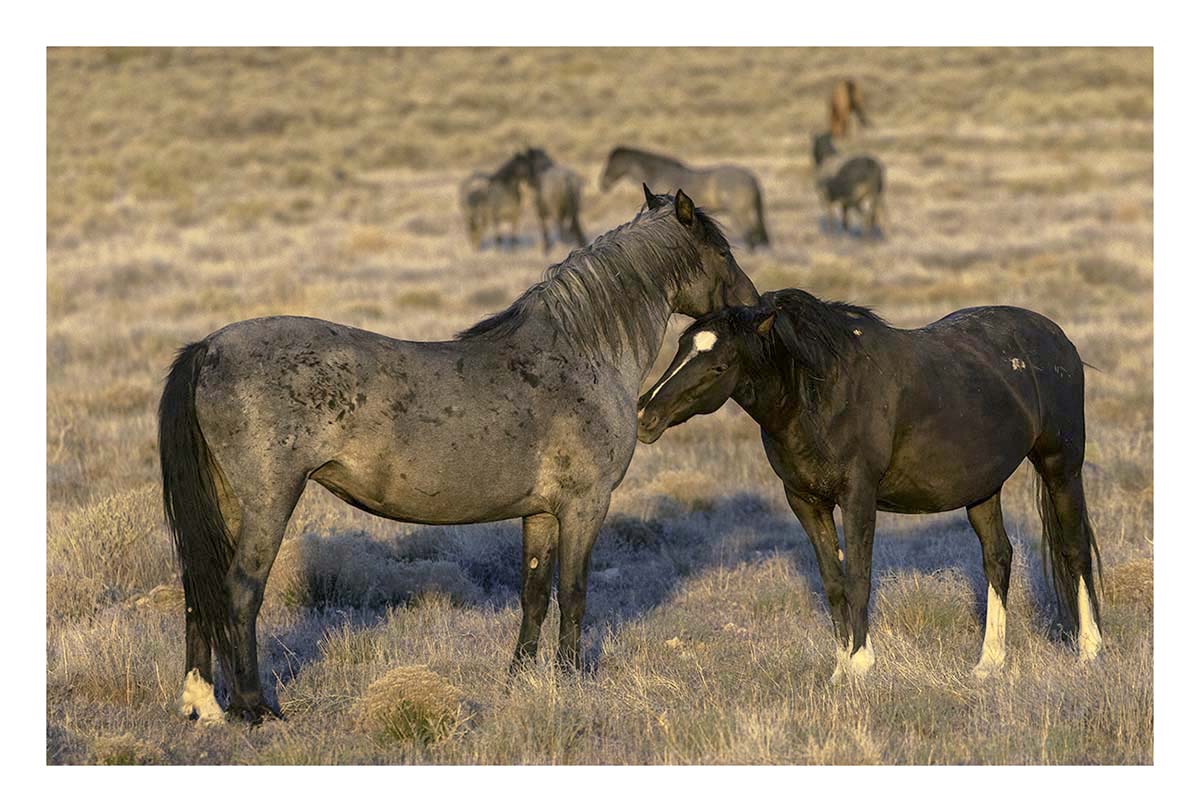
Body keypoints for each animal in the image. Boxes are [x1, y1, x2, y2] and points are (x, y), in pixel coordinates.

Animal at [159, 186, 760, 724]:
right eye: (721, 251)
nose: (754, 308)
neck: (582, 353)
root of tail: (208, 348)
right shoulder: (584, 507)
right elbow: (575, 592)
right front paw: (571, 677)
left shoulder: (540, 513)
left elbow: (534, 593)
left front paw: (520, 678)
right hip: (268, 504)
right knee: (239, 592)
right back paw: (255, 708)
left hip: (226, 505)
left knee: (198, 587)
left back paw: (202, 705)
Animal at [599, 146, 769, 251]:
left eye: (611, 163)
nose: (602, 184)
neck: (658, 172)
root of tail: (752, 179)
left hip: (738, 212)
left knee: (749, 234)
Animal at [636, 289, 1103, 683]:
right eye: (680, 349)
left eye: (718, 365)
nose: (645, 415)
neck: (823, 393)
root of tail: (1059, 340)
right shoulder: (806, 502)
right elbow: (833, 581)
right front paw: (840, 668)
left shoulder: (858, 498)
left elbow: (859, 577)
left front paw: (861, 665)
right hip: (982, 487)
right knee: (998, 557)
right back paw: (989, 663)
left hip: (1061, 467)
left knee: (1074, 549)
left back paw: (1090, 650)